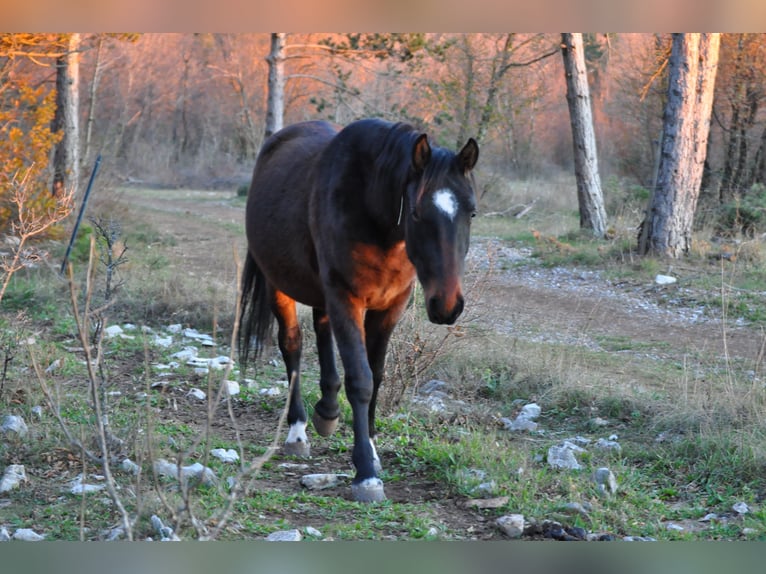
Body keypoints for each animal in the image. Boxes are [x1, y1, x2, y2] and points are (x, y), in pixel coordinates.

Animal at [240, 118, 480, 504]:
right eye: (416, 212)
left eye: (471, 212)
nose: (447, 305)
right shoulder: (346, 297)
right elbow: (361, 380)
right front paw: (366, 474)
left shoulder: (389, 308)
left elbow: (377, 375)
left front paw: (370, 447)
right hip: (278, 284)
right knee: (292, 344)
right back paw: (297, 430)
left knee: (322, 329)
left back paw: (327, 410)